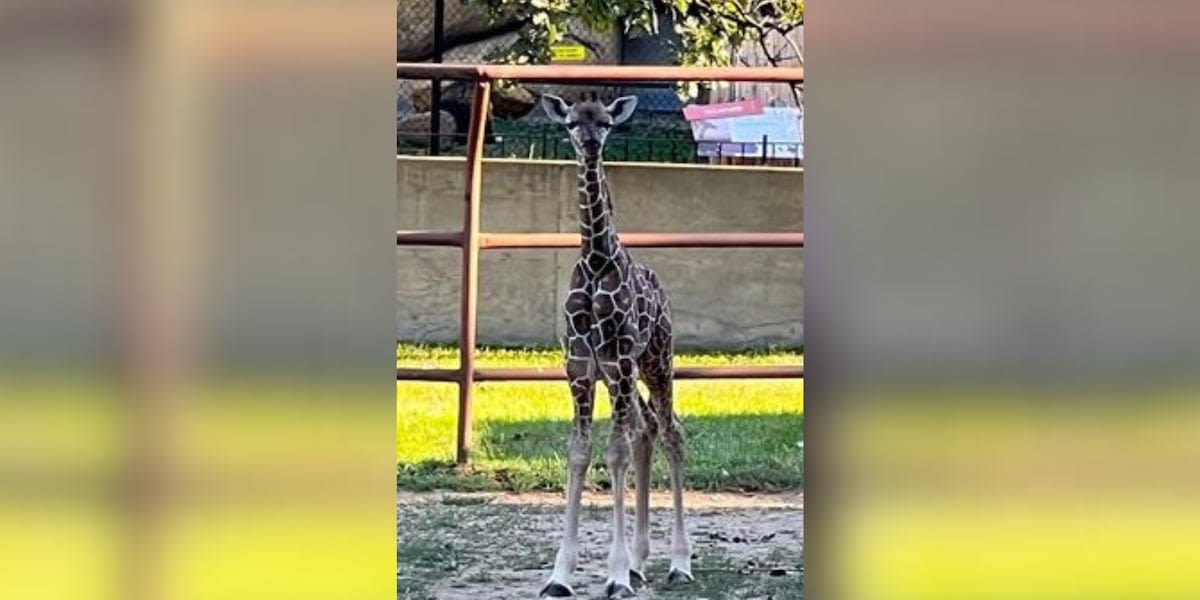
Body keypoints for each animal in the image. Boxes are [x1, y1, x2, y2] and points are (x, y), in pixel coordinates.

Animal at [542, 91, 700, 597]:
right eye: (571, 123)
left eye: (607, 122)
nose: (591, 144)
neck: (596, 260)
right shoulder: (580, 366)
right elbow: (580, 451)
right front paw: (561, 576)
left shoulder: (620, 360)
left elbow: (616, 452)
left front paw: (614, 575)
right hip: (624, 376)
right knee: (646, 429)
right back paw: (640, 561)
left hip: (656, 359)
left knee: (670, 431)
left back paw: (678, 563)